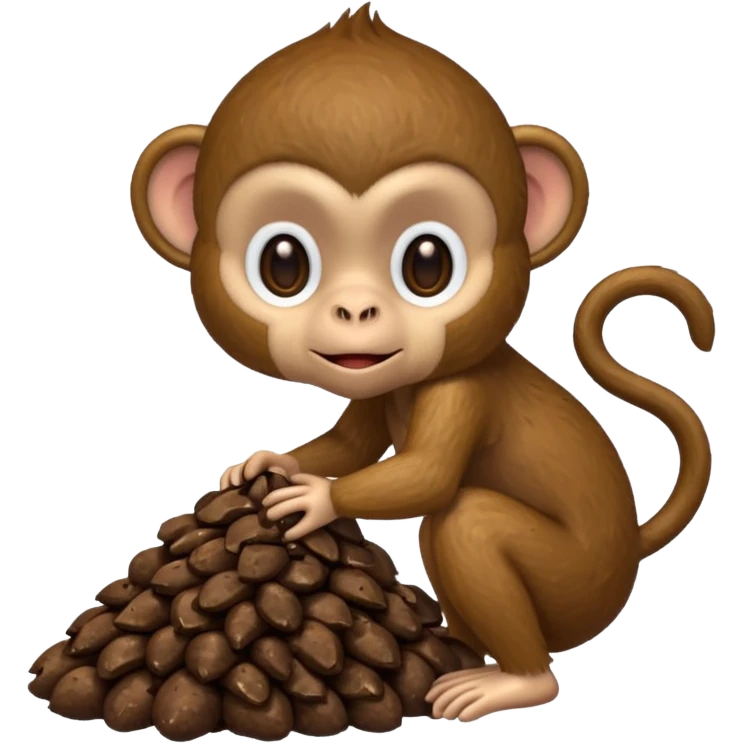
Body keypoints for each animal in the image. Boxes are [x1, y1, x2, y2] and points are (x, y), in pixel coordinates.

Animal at [128, 3, 716, 722]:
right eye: (283, 264)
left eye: (427, 263)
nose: (356, 310)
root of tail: (630, 549)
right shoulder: (374, 387)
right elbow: (352, 444)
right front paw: (271, 464)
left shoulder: (459, 390)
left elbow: (428, 475)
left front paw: (314, 498)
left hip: (575, 584)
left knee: (468, 524)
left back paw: (512, 680)